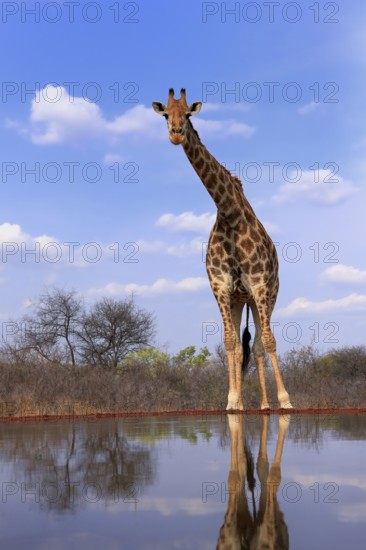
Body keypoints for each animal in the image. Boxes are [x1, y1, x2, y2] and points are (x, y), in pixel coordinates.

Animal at [153, 88, 294, 412]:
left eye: (188, 114)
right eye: (166, 114)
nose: (176, 134)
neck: (229, 214)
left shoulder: (258, 285)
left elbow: (269, 341)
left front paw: (286, 401)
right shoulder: (221, 287)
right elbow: (230, 342)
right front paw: (232, 400)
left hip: (268, 295)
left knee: (260, 344)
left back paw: (268, 404)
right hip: (241, 300)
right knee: (244, 347)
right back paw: (251, 402)